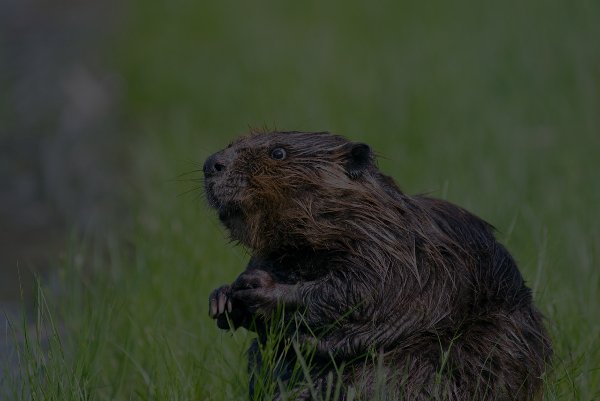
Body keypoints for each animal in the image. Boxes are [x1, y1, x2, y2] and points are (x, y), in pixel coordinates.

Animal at [204, 130, 552, 398]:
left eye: (278, 152)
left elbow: (360, 292)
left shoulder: (394, 252)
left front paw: (258, 289)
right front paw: (223, 298)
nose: (211, 164)